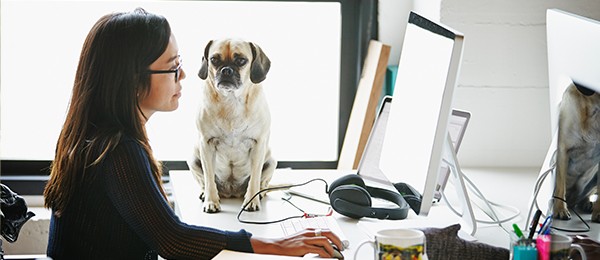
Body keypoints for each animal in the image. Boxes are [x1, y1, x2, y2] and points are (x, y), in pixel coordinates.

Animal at [190, 38, 276, 213]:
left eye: (241, 61)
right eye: (214, 60)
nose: (226, 71)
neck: (231, 101)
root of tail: (232, 191)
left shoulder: (258, 146)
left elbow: (255, 178)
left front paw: (251, 200)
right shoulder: (206, 145)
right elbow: (209, 179)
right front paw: (211, 201)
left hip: (271, 161)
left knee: (262, 182)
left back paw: (261, 193)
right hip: (194, 158)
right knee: (204, 181)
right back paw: (205, 193)